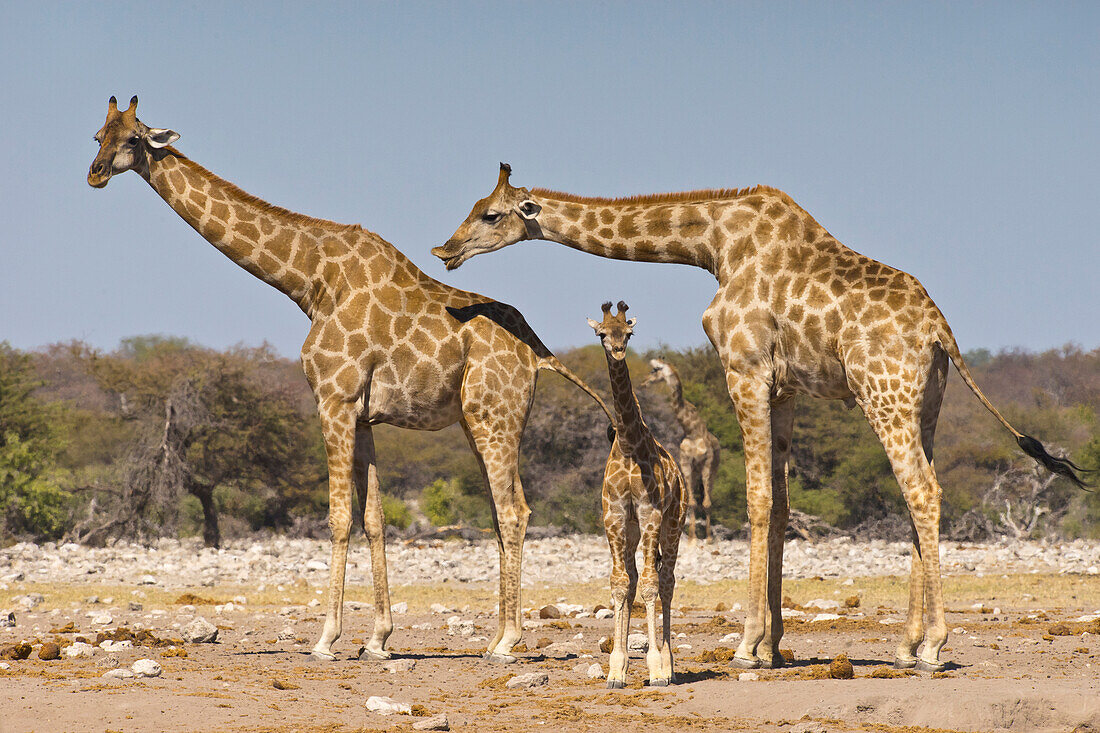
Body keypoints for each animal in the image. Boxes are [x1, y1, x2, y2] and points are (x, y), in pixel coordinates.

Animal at [89, 96, 616, 660]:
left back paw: (508, 641)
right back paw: (496, 634)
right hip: (482, 421)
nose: (94, 173)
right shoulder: (364, 415)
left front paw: (326, 637)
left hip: (493, 416)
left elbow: (339, 517)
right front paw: (379, 637)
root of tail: (538, 352)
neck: (311, 281)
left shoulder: (333, 400)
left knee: (513, 511)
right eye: (98, 134)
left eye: (133, 139)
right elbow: (375, 520)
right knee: (506, 512)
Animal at [638, 356, 721, 539]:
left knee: (708, 497)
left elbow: (706, 503)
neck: (693, 431)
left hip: (712, 470)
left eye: (655, 370)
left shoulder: (707, 463)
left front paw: (709, 538)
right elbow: (692, 502)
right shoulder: (686, 463)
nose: (643, 382)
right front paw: (692, 539)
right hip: (695, 472)